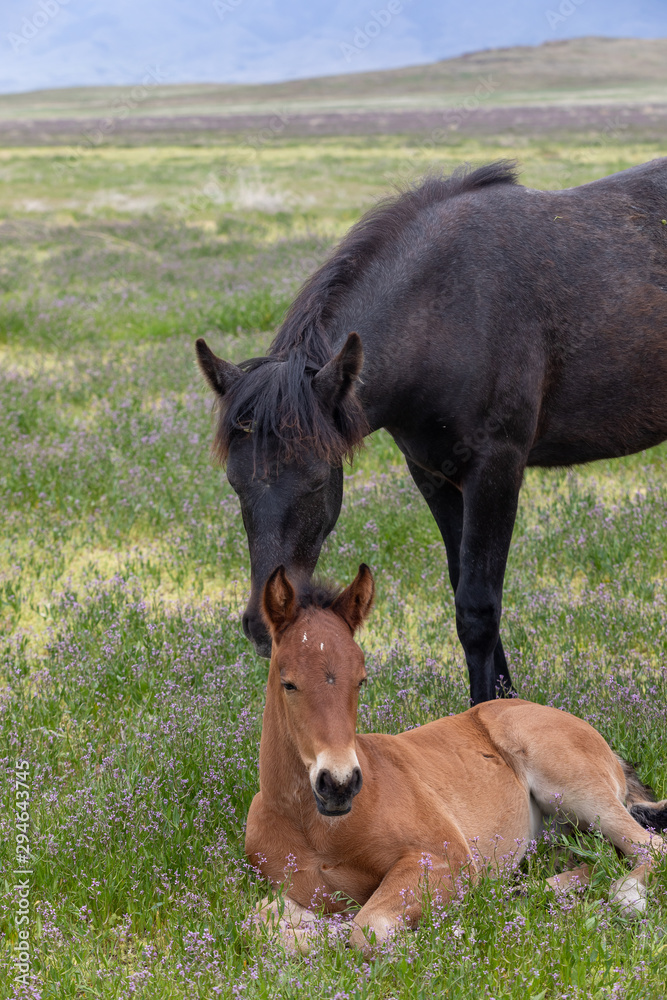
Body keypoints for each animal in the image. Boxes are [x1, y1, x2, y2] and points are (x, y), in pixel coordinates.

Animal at [196, 157, 667, 705]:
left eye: (316, 481)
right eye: (235, 482)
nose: (261, 626)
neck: (446, 310)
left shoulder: (495, 469)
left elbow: (478, 607)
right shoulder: (435, 475)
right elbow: (463, 585)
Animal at [246, 563, 667, 954]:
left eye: (361, 680)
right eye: (288, 683)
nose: (339, 784)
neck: (314, 827)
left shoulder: (446, 858)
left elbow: (368, 928)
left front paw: (451, 935)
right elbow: (265, 926)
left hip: (575, 789)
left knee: (648, 846)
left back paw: (625, 895)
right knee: (599, 856)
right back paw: (523, 893)